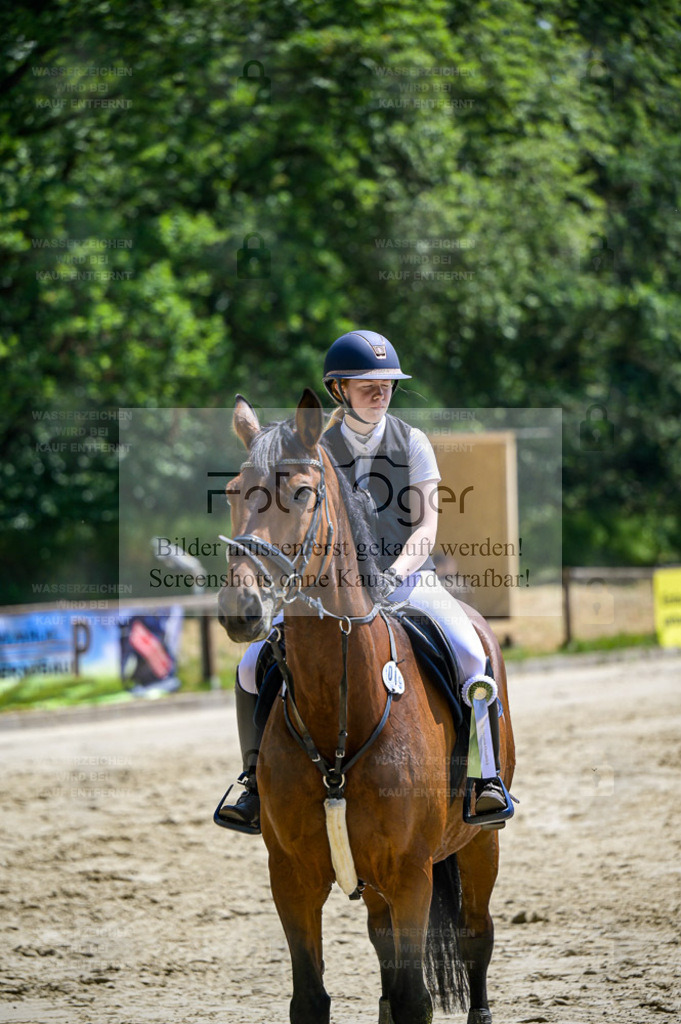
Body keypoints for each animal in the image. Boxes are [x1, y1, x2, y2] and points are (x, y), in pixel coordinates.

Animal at [218, 387, 516, 1019]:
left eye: (302, 493)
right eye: (234, 491)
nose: (240, 609)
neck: (340, 713)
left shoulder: (409, 877)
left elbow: (413, 999)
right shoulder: (292, 879)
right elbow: (311, 997)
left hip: (480, 844)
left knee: (476, 938)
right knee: (384, 949)